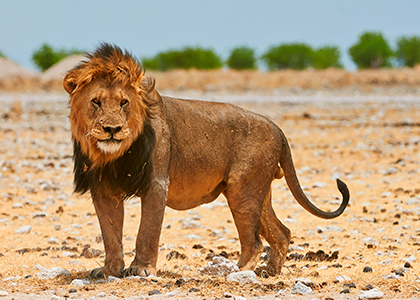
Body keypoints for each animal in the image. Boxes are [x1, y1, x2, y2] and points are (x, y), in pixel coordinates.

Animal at [63, 42, 352, 278]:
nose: (112, 129)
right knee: (281, 233)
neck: (113, 156)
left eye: (124, 102)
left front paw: (141, 269)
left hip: (242, 191)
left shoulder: (157, 183)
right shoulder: (103, 189)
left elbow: (147, 230)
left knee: (254, 242)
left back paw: (237, 272)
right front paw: (109, 270)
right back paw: (269, 272)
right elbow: (110, 234)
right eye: (96, 102)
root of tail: (277, 128)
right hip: (259, 191)